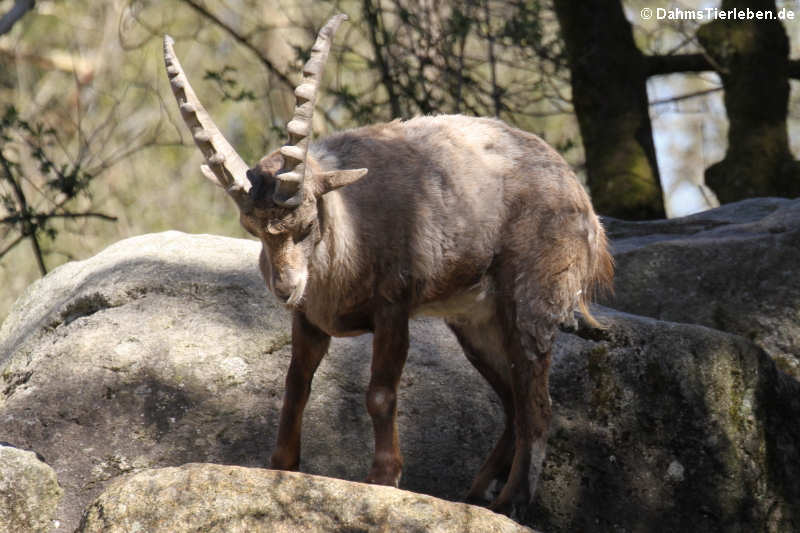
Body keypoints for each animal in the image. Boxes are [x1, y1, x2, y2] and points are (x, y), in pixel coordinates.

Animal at [163, 14, 612, 512]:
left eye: (306, 222)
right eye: (253, 229)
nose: (285, 289)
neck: (350, 227)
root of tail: (584, 206)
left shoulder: (393, 306)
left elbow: (380, 392)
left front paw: (383, 477)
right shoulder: (311, 320)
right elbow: (296, 384)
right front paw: (281, 465)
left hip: (532, 300)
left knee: (537, 403)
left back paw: (510, 500)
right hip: (476, 322)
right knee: (513, 399)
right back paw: (476, 493)